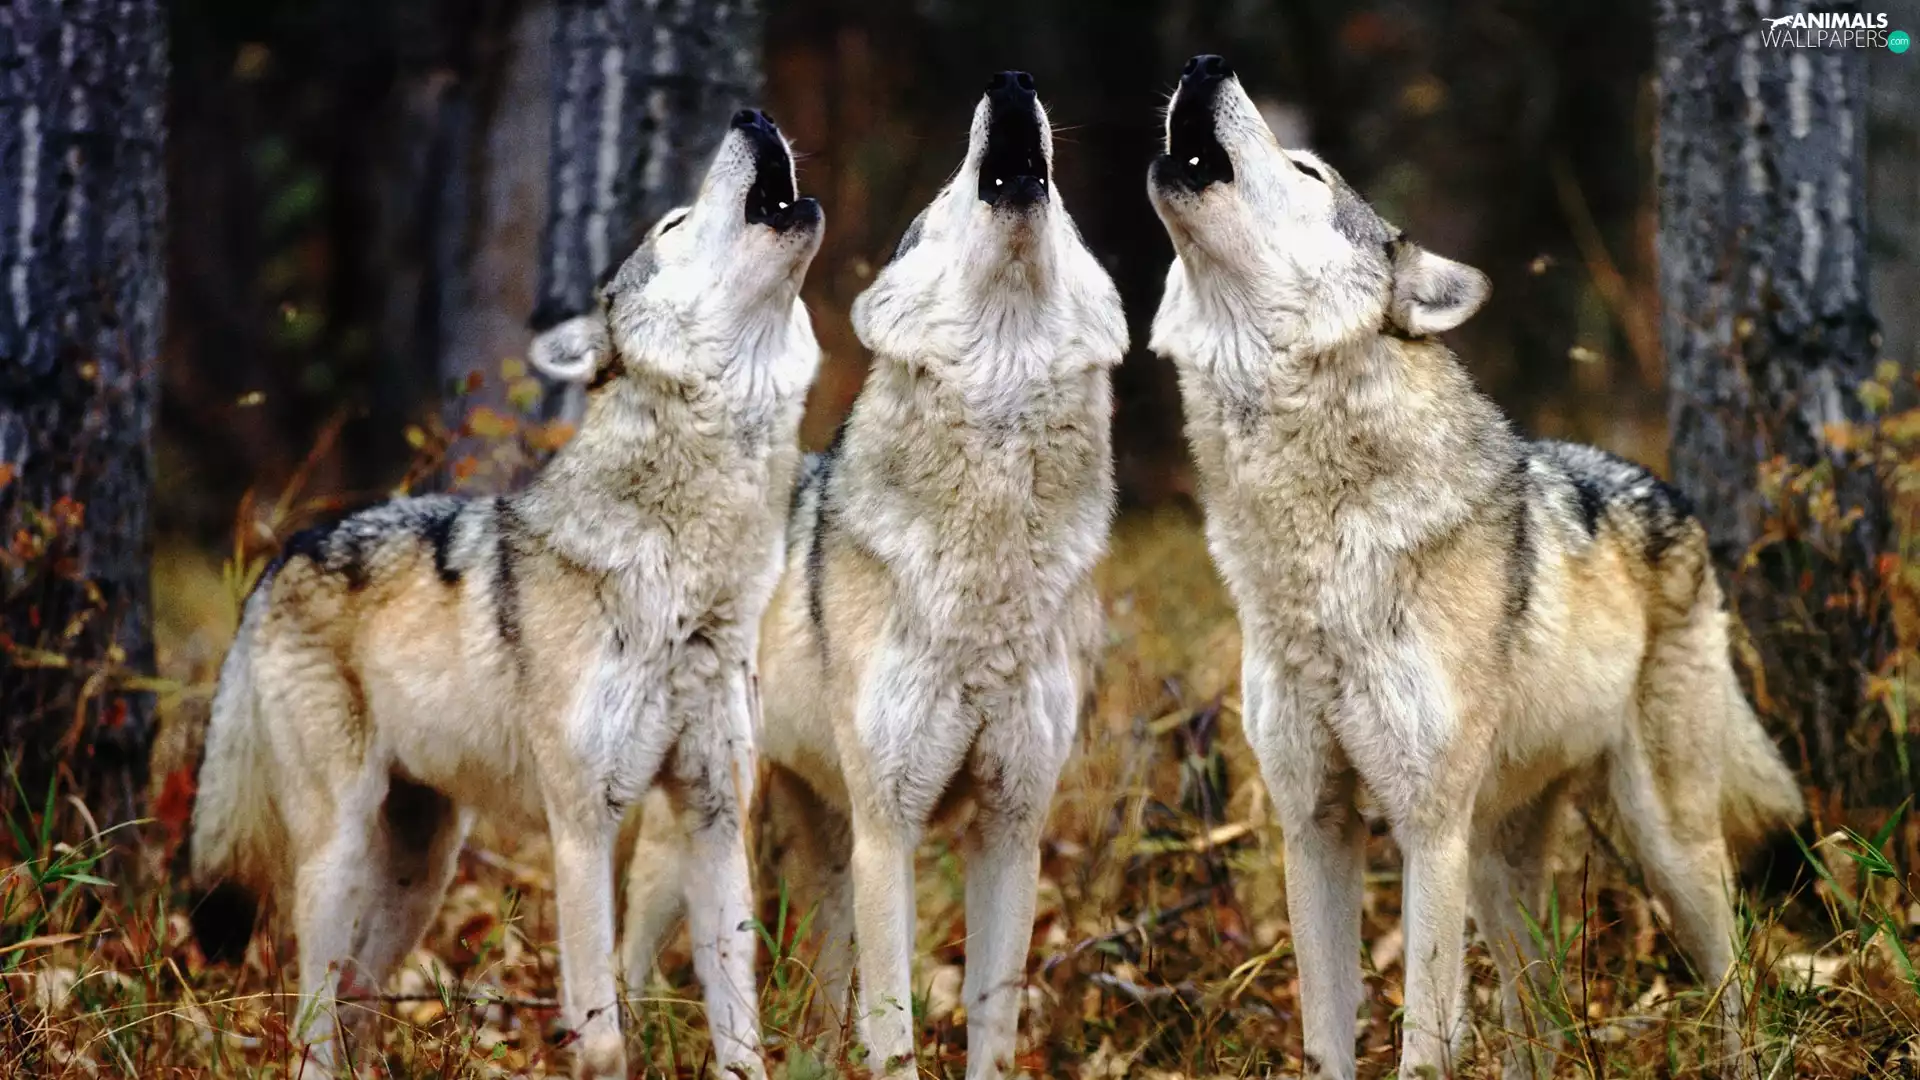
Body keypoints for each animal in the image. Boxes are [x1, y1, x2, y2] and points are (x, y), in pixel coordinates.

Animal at [186, 108, 823, 1080]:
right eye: (673, 224)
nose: (752, 117)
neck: (689, 580)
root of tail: (285, 551)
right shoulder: (583, 826)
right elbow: (602, 1035)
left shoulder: (714, 816)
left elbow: (741, 1034)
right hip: (336, 854)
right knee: (313, 1018)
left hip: (424, 868)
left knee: (359, 996)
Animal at [620, 71, 1126, 1079]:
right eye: (945, 194)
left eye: (1069, 214)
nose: (1011, 82)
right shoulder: (890, 831)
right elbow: (894, 1032)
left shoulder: (1011, 828)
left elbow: (992, 1026)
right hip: (711, 830)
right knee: (628, 959)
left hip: (825, 844)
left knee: (818, 1003)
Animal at [1146, 55, 1805, 1080]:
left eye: (1306, 169)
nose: (1204, 66)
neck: (1314, 549)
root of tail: (1673, 491)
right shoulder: (1315, 825)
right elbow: (1326, 1037)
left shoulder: (1428, 831)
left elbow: (1424, 1042)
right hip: (1500, 871)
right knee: (1543, 1026)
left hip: (1662, 842)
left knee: (1733, 977)